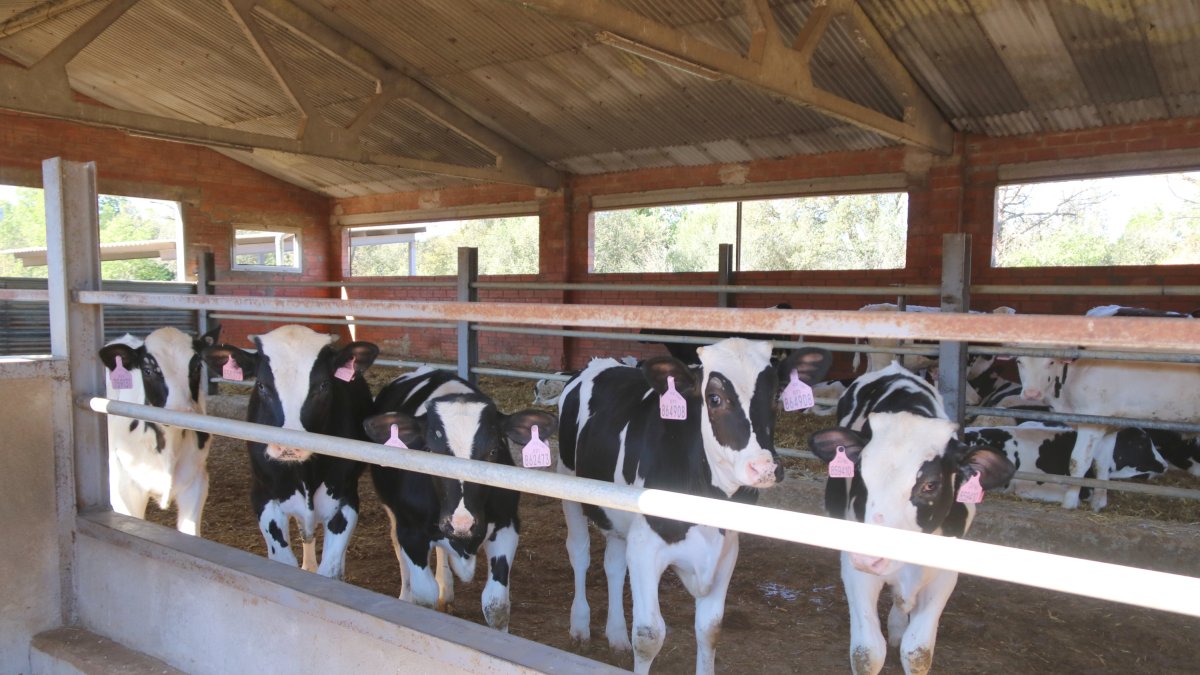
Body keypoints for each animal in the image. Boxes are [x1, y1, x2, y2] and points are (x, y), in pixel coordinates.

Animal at [202, 325, 378, 579]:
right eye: (261, 385)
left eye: (323, 385)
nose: (288, 447)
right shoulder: (263, 496)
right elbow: (283, 561)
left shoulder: (346, 499)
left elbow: (329, 569)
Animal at [362, 366, 557, 631]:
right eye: (429, 450)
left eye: (494, 451)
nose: (461, 523)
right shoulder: (412, 532)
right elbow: (425, 597)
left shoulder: (507, 525)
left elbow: (496, 605)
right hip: (394, 513)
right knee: (398, 548)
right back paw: (406, 594)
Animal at [558, 339, 832, 675]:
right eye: (714, 398)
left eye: (775, 396)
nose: (765, 468)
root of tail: (599, 362)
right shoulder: (645, 547)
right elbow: (649, 636)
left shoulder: (726, 550)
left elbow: (710, 629)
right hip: (567, 484)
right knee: (580, 554)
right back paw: (580, 627)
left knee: (613, 564)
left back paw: (617, 636)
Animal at [809, 362, 1014, 675]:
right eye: (860, 475)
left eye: (930, 484)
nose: (870, 557)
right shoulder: (855, 568)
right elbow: (867, 652)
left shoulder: (944, 573)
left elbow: (918, 651)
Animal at [1016, 353, 1200, 510]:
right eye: (1019, 361)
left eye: (1051, 362)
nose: (1031, 394)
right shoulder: (1109, 426)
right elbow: (1102, 464)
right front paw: (1098, 502)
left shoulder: (1091, 421)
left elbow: (1078, 463)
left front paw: (1069, 502)